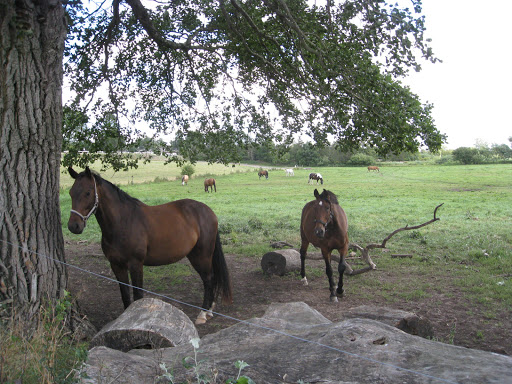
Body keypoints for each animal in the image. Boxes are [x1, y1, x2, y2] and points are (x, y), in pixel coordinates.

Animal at [66, 168, 232, 324]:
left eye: (88, 192)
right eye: (71, 192)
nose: (74, 226)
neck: (124, 221)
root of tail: (209, 212)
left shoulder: (136, 264)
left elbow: (138, 295)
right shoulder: (116, 265)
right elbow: (125, 294)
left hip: (202, 256)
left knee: (208, 279)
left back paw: (203, 313)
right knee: (211, 278)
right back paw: (209, 310)